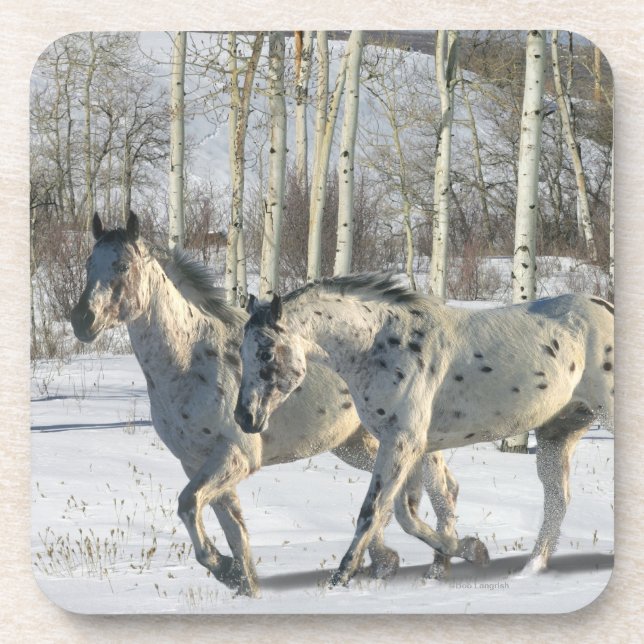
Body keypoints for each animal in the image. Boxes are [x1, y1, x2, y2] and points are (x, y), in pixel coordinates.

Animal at [70, 212, 464, 596]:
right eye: (89, 263)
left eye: (122, 265)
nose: (82, 320)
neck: (190, 362)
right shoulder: (196, 462)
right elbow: (233, 532)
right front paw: (241, 582)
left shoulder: (236, 456)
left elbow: (189, 505)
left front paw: (225, 569)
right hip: (357, 444)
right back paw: (397, 561)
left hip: (408, 440)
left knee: (441, 487)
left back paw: (440, 565)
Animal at [235, 272, 614, 587]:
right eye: (241, 351)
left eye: (266, 353)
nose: (244, 417)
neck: (381, 345)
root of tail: (606, 306)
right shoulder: (409, 445)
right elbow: (406, 512)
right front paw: (467, 550)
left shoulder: (402, 442)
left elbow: (374, 510)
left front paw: (341, 577)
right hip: (557, 433)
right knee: (557, 500)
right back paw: (531, 570)